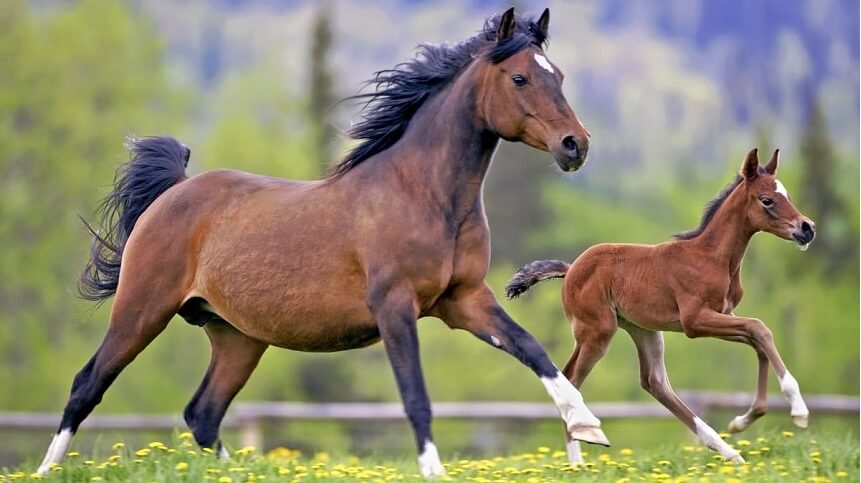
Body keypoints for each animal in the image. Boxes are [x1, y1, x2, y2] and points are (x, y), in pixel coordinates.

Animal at [38, 8, 612, 480]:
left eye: (558, 75)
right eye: (519, 77)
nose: (576, 146)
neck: (424, 194)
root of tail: (174, 191)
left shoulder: (464, 300)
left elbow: (534, 350)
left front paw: (588, 427)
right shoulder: (395, 306)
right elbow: (416, 396)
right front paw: (435, 472)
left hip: (237, 337)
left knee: (203, 414)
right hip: (143, 308)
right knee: (87, 385)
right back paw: (46, 470)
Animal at [508, 149, 816, 466]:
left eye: (787, 194)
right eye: (767, 200)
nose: (807, 228)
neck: (712, 258)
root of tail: (569, 270)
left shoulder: (722, 315)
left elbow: (757, 339)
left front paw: (742, 421)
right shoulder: (695, 321)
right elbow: (759, 328)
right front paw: (798, 410)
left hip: (643, 330)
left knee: (654, 382)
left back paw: (727, 450)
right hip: (597, 331)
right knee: (572, 379)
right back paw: (578, 458)